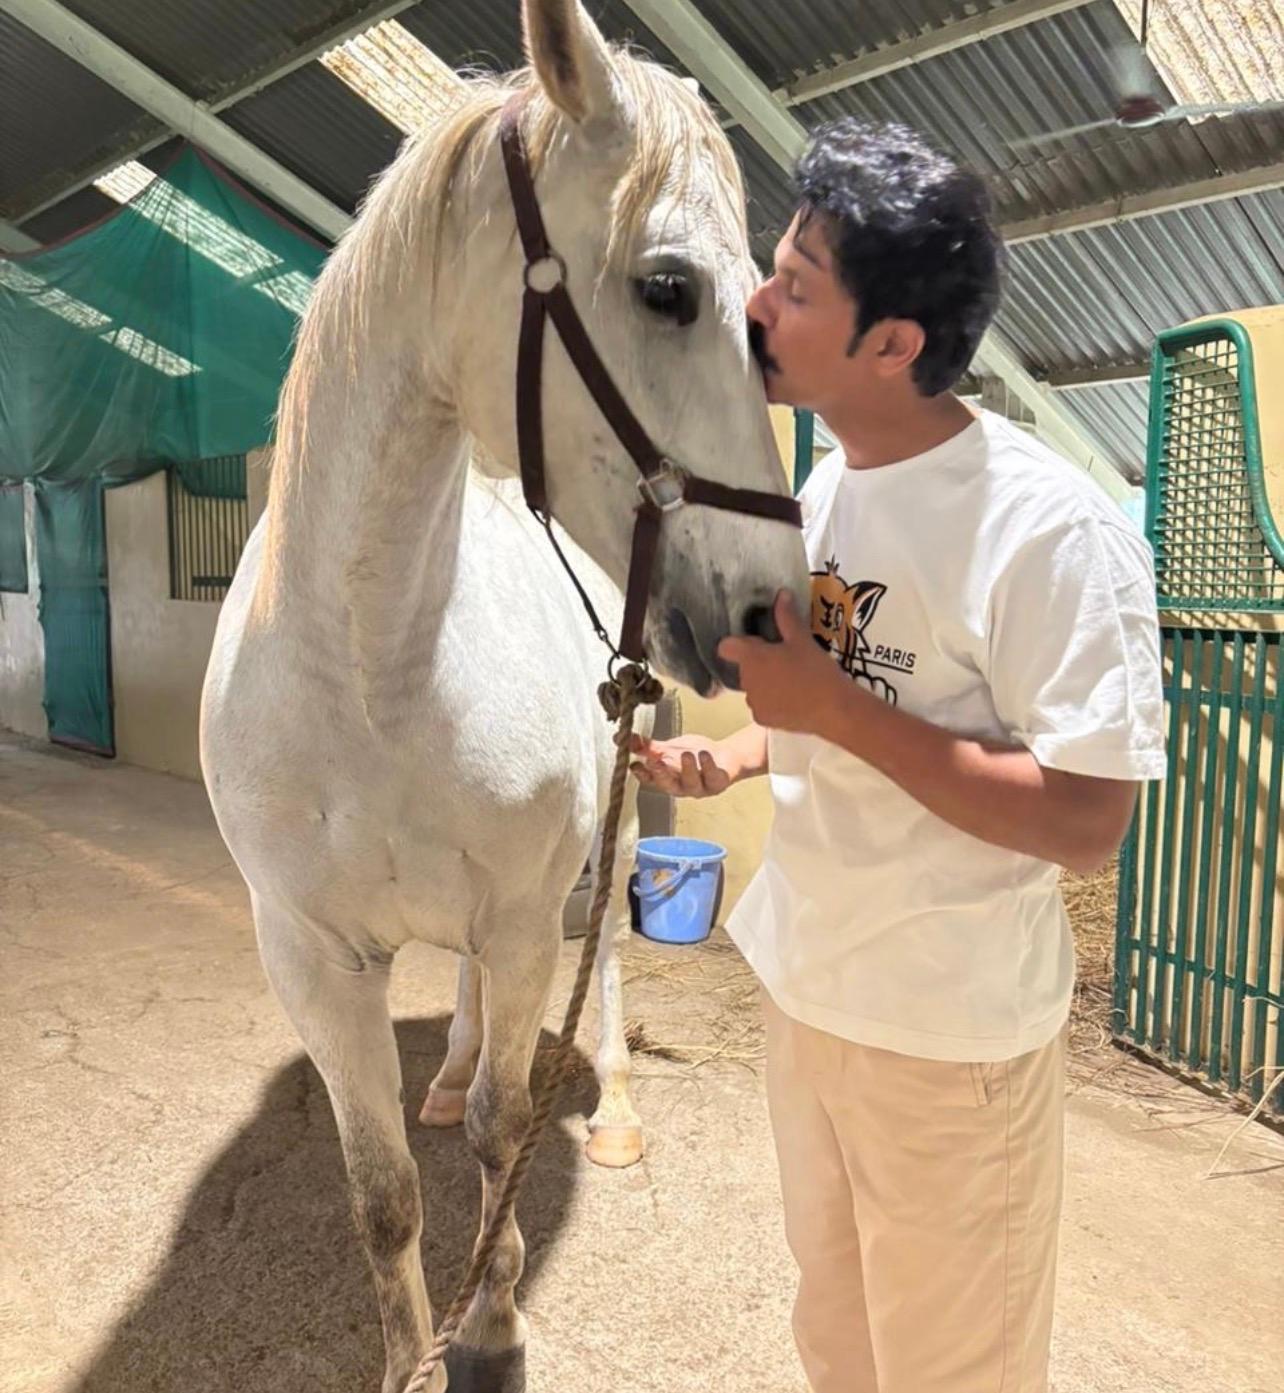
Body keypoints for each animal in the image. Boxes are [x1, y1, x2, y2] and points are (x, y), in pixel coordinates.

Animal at [200, 2, 806, 1388]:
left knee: (607, 972)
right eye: (669, 287)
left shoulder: (530, 918)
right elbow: (381, 1192)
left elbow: (500, 1131)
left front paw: (491, 1322)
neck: (372, 662)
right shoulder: (306, 953)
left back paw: (616, 1110)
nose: (776, 610)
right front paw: (411, 1351)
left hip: (612, 832)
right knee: (468, 1014)